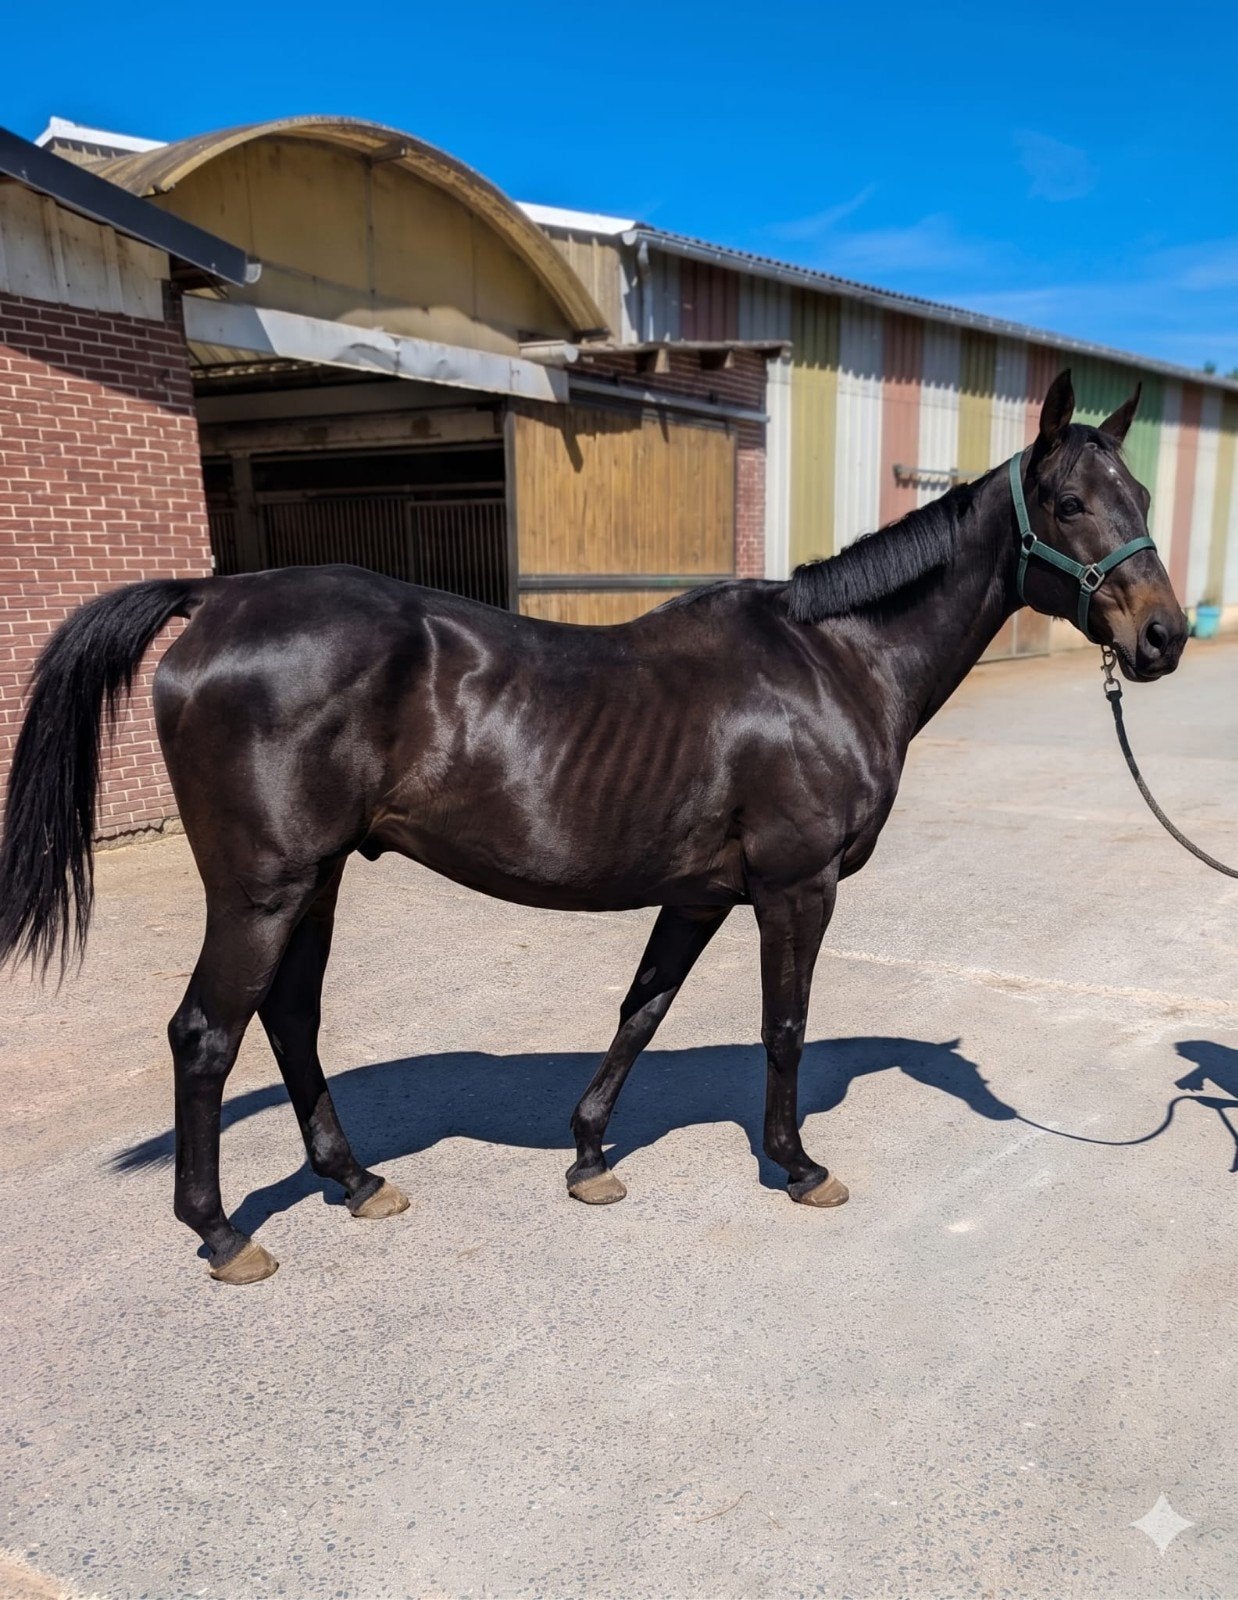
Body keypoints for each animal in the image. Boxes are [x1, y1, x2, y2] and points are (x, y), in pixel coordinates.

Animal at [0, 370, 1187, 1284]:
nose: (1164, 636)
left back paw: (356, 1179)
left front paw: (587, 1157)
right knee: (207, 1032)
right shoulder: (795, 886)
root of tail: (216, 597)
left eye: (1136, 490)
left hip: (318, 877)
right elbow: (784, 1026)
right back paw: (220, 1232)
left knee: (289, 1019)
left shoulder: (700, 894)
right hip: (263, 885)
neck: (831, 662)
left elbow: (640, 1011)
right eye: (1068, 500)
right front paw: (796, 1165)